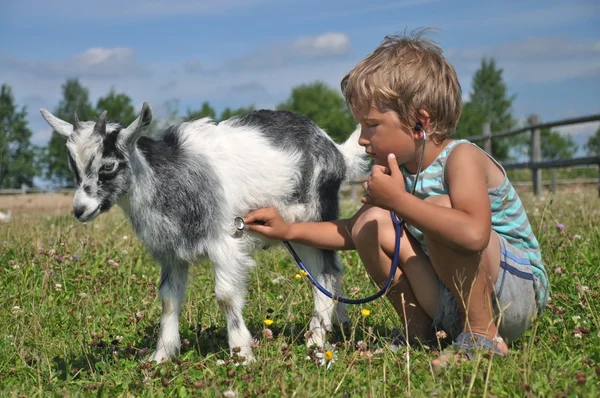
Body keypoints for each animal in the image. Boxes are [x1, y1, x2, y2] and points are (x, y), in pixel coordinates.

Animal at [39, 103, 368, 364]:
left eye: (108, 166)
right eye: (73, 165)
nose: (80, 209)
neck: (170, 179)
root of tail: (337, 152)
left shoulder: (225, 241)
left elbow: (225, 297)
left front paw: (242, 355)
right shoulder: (171, 253)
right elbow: (169, 299)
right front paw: (161, 357)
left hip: (316, 214)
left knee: (325, 273)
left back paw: (316, 341)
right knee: (331, 272)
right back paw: (340, 324)